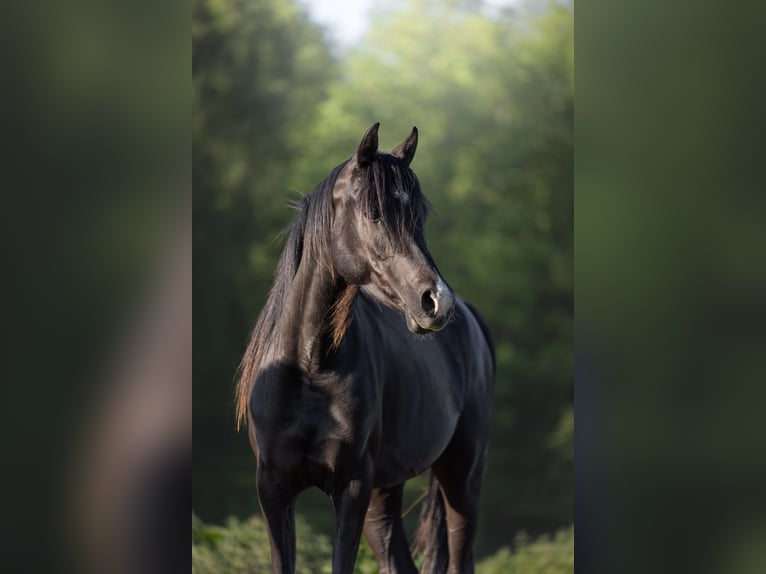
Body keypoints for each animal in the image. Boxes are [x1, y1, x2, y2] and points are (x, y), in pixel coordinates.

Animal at [237, 124, 496, 572]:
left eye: (418, 216)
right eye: (374, 213)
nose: (437, 302)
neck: (309, 368)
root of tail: (471, 320)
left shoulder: (352, 488)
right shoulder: (273, 490)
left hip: (461, 478)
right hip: (385, 493)